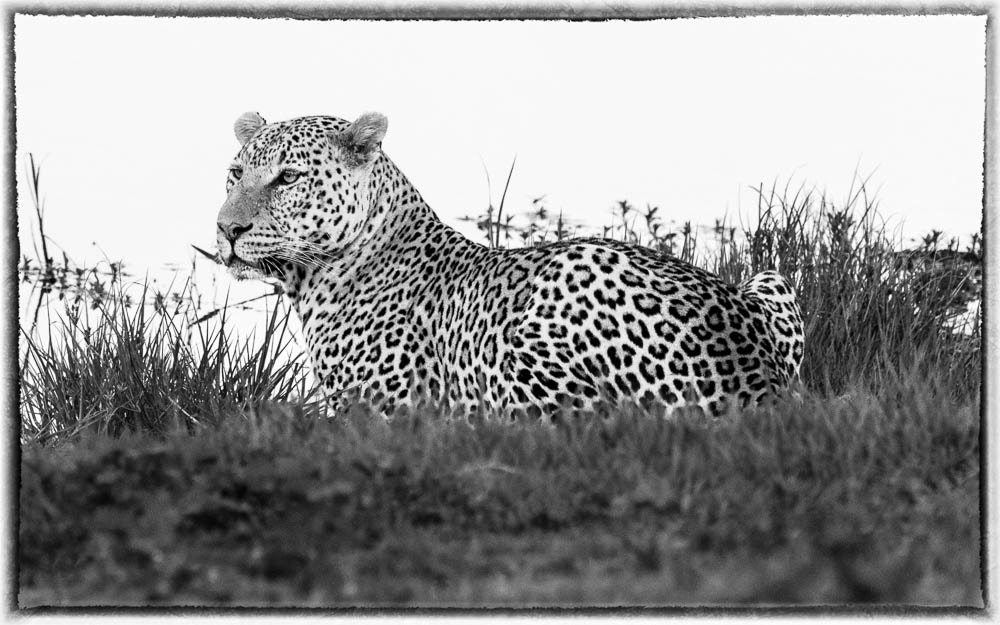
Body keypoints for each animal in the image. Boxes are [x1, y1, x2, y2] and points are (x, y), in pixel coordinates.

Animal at [214, 111, 805, 418]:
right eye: (235, 173)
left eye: (288, 178)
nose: (226, 230)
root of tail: (751, 381)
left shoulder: (383, 413)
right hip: (771, 278)